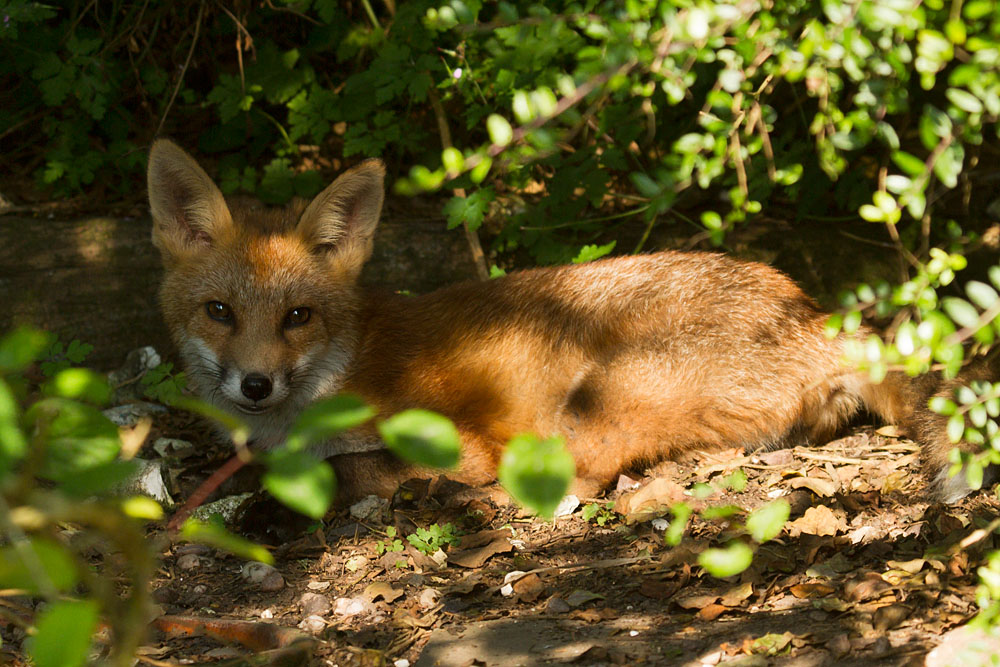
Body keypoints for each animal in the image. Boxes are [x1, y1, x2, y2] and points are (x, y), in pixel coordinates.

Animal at [147, 138, 990, 505]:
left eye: (298, 316)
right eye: (219, 312)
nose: (255, 385)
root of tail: (812, 310)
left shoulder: (458, 438)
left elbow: (350, 467)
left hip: (594, 397)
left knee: (580, 478)